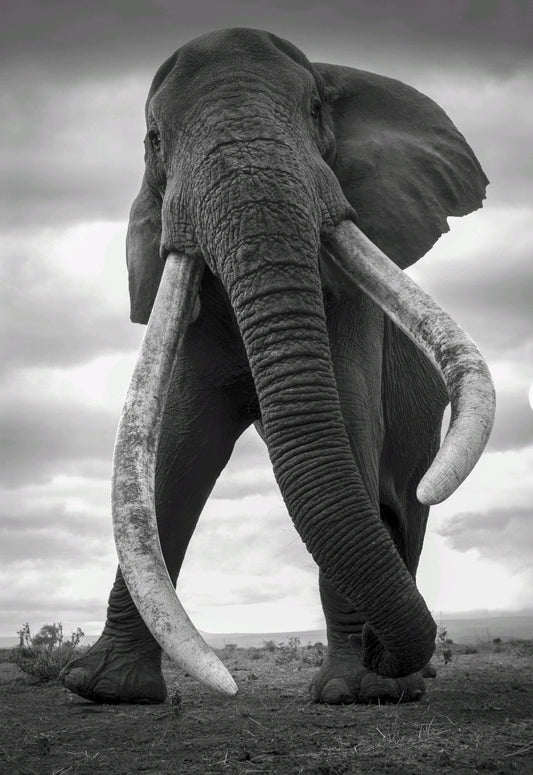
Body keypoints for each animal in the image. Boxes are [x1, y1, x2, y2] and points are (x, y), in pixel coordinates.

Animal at [62, 28, 495, 706]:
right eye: (154, 140)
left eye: (316, 111)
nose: (378, 655)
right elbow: (172, 457)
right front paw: (102, 690)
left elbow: (346, 430)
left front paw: (353, 693)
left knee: (408, 510)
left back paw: (403, 680)